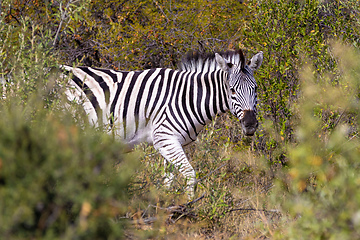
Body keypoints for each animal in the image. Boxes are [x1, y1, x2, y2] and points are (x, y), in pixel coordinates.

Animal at [60, 48, 262, 197]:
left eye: (255, 88)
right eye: (232, 90)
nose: (250, 124)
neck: (186, 97)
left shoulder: (172, 142)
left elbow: (168, 180)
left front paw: (164, 208)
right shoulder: (164, 137)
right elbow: (190, 175)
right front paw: (188, 209)